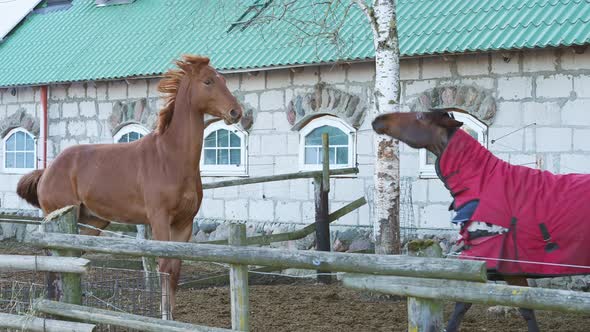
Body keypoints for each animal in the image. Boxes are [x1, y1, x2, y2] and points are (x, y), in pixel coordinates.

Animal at [16, 54, 243, 320]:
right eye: (208, 81)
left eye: (223, 80)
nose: (236, 112)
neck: (170, 158)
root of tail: (47, 171)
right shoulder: (159, 219)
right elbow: (164, 265)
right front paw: (164, 316)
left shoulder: (184, 222)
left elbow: (176, 268)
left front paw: (172, 316)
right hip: (60, 217)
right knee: (53, 258)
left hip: (93, 222)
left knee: (73, 256)